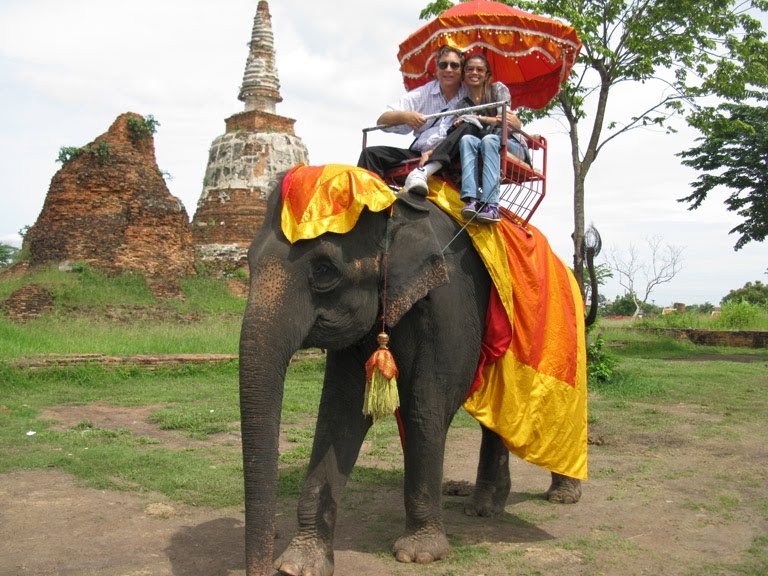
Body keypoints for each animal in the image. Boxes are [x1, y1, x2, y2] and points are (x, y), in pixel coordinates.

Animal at [238, 166, 595, 576]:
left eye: (326, 271)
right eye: (247, 262)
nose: (262, 569)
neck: (395, 208)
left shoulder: (446, 301)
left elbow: (424, 409)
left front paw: (419, 554)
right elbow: (340, 413)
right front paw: (300, 564)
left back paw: (561, 496)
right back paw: (483, 508)